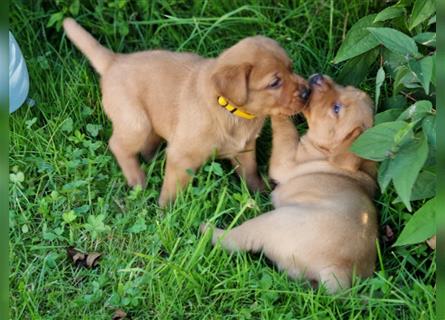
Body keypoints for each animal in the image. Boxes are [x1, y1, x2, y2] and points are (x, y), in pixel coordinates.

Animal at [62, 18, 308, 206]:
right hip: (135, 122)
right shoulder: (181, 157)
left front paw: (261, 194)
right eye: (275, 83)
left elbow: (251, 173)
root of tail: (115, 60)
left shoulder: (244, 149)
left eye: (291, 68)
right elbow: (172, 189)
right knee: (118, 145)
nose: (307, 91)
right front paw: (165, 212)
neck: (231, 111)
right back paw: (137, 180)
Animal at [203, 74, 376, 292]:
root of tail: (338, 271)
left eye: (337, 108)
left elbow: (286, 130)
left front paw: (279, 109)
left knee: (233, 240)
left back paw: (207, 229)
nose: (318, 77)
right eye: (346, 87)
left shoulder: (285, 161)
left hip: (271, 221)